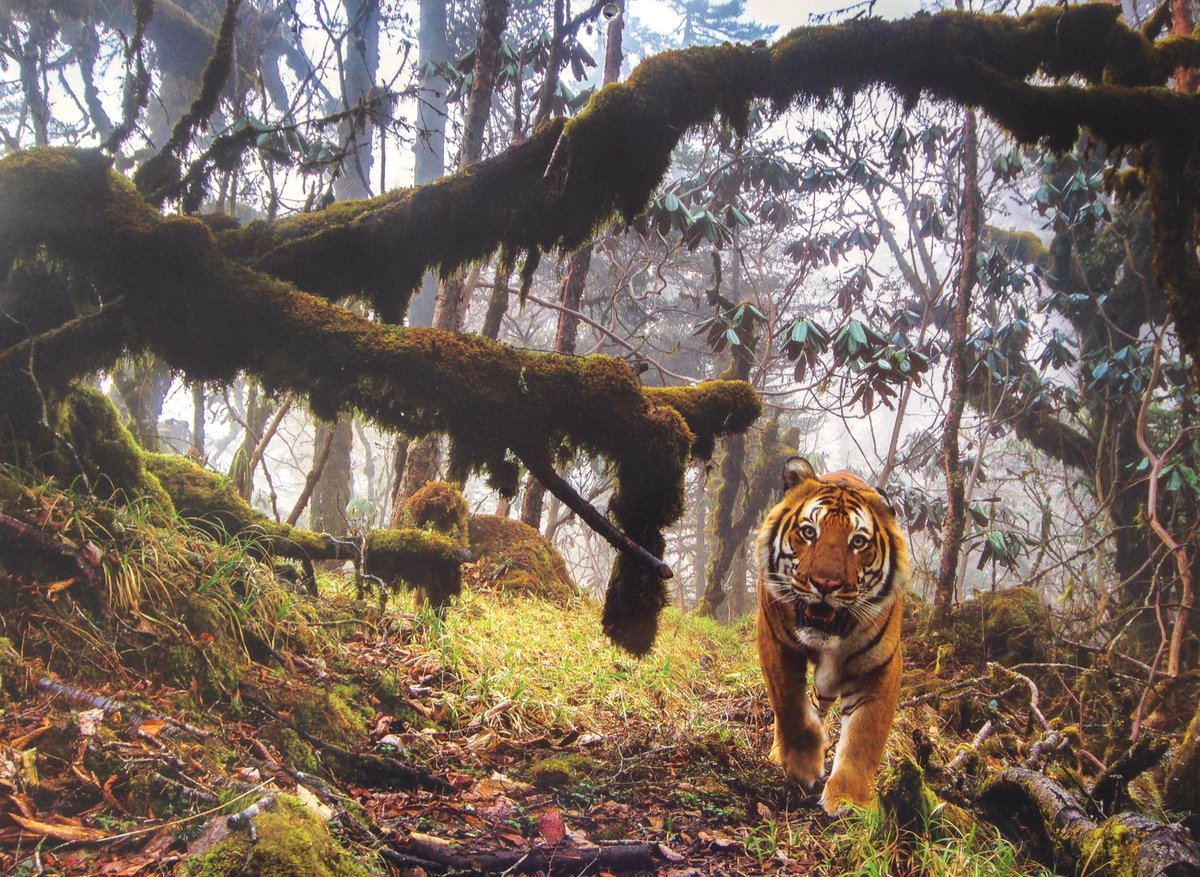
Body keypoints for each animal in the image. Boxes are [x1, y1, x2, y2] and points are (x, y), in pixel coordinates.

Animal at [755, 455, 908, 814]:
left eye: (858, 542)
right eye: (809, 532)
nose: (825, 584)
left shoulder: (879, 666)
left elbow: (865, 735)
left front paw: (849, 799)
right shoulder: (774, 638)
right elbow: (789, 704)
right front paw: (802, 763)